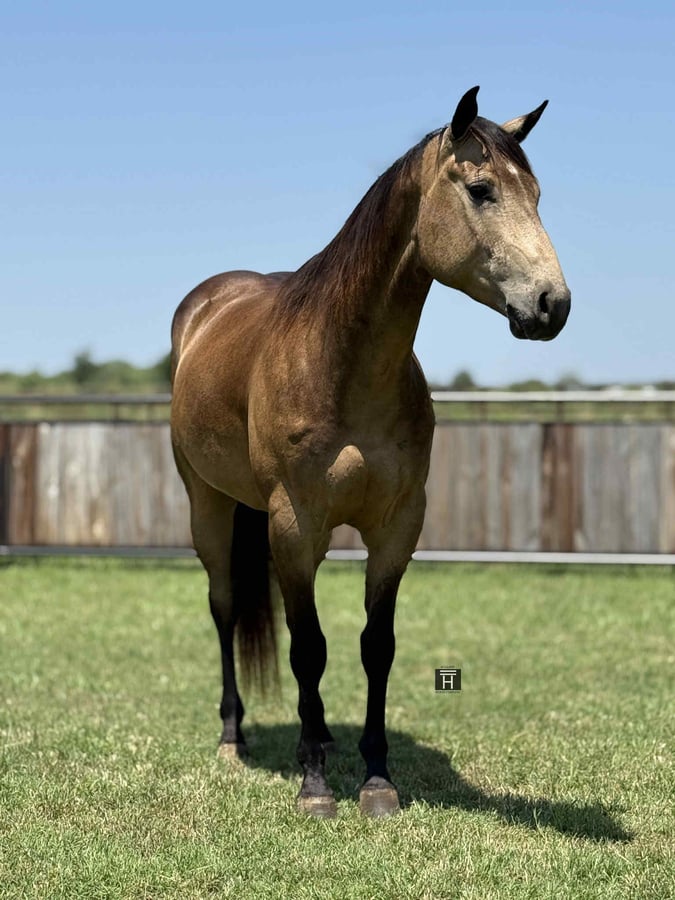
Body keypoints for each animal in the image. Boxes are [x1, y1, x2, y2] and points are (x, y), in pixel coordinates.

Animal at [170, 86, 570, 818]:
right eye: (480, 190)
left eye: (535, 194)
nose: (551, 304)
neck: (341, 363)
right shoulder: (294, 527)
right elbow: (308, 649)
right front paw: (314, 785)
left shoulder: (396, 527)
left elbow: (373, 647)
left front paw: (376, 778)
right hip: (207, 504)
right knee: (223, 606)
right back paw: (234, 737)